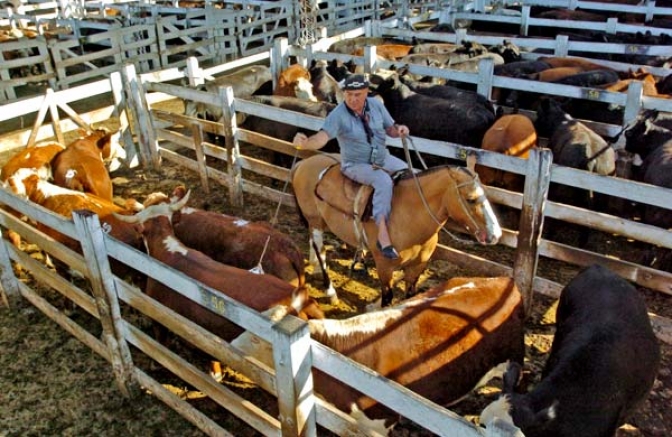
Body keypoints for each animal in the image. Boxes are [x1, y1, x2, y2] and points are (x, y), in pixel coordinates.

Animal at [292, 153, 502, 306]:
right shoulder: (385, 267)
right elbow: (387, 299)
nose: (496, 234)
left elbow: (410, 296)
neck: (409, 215)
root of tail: (304, 162)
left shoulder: (417, 267)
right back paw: (330, 292)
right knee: (321, 250)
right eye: (470, 199)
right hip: (315, 220)